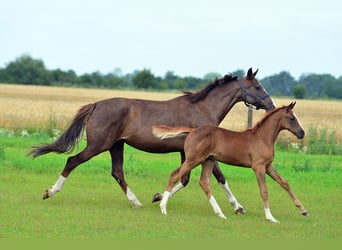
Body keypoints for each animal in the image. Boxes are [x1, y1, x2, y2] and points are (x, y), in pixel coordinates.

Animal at [28, 67, 276, 210]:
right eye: (257, 86)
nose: (272, 105)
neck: (202, 109)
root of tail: (96, 104)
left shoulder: (189, 152)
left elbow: (185, 179)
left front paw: (157, 197)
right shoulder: (200, 152)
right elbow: (218, 177)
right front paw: (238, 206)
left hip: (116, 146)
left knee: (117, 172)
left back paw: (136, 201)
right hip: (99, 144)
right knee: (73, 161)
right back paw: (50, 192)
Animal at [152, 101, 308, 223]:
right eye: (292, 118)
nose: (302, 133)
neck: (261, 138)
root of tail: (193, 130)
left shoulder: (268, 166)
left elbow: (284, 183)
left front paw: (303, 210)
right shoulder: (258, 167)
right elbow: (264, 191)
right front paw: (270, 217)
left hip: (208, 160)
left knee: (204, 182)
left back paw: (220, 213)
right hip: (193, 159)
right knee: (175, 175)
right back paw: (163, 207)